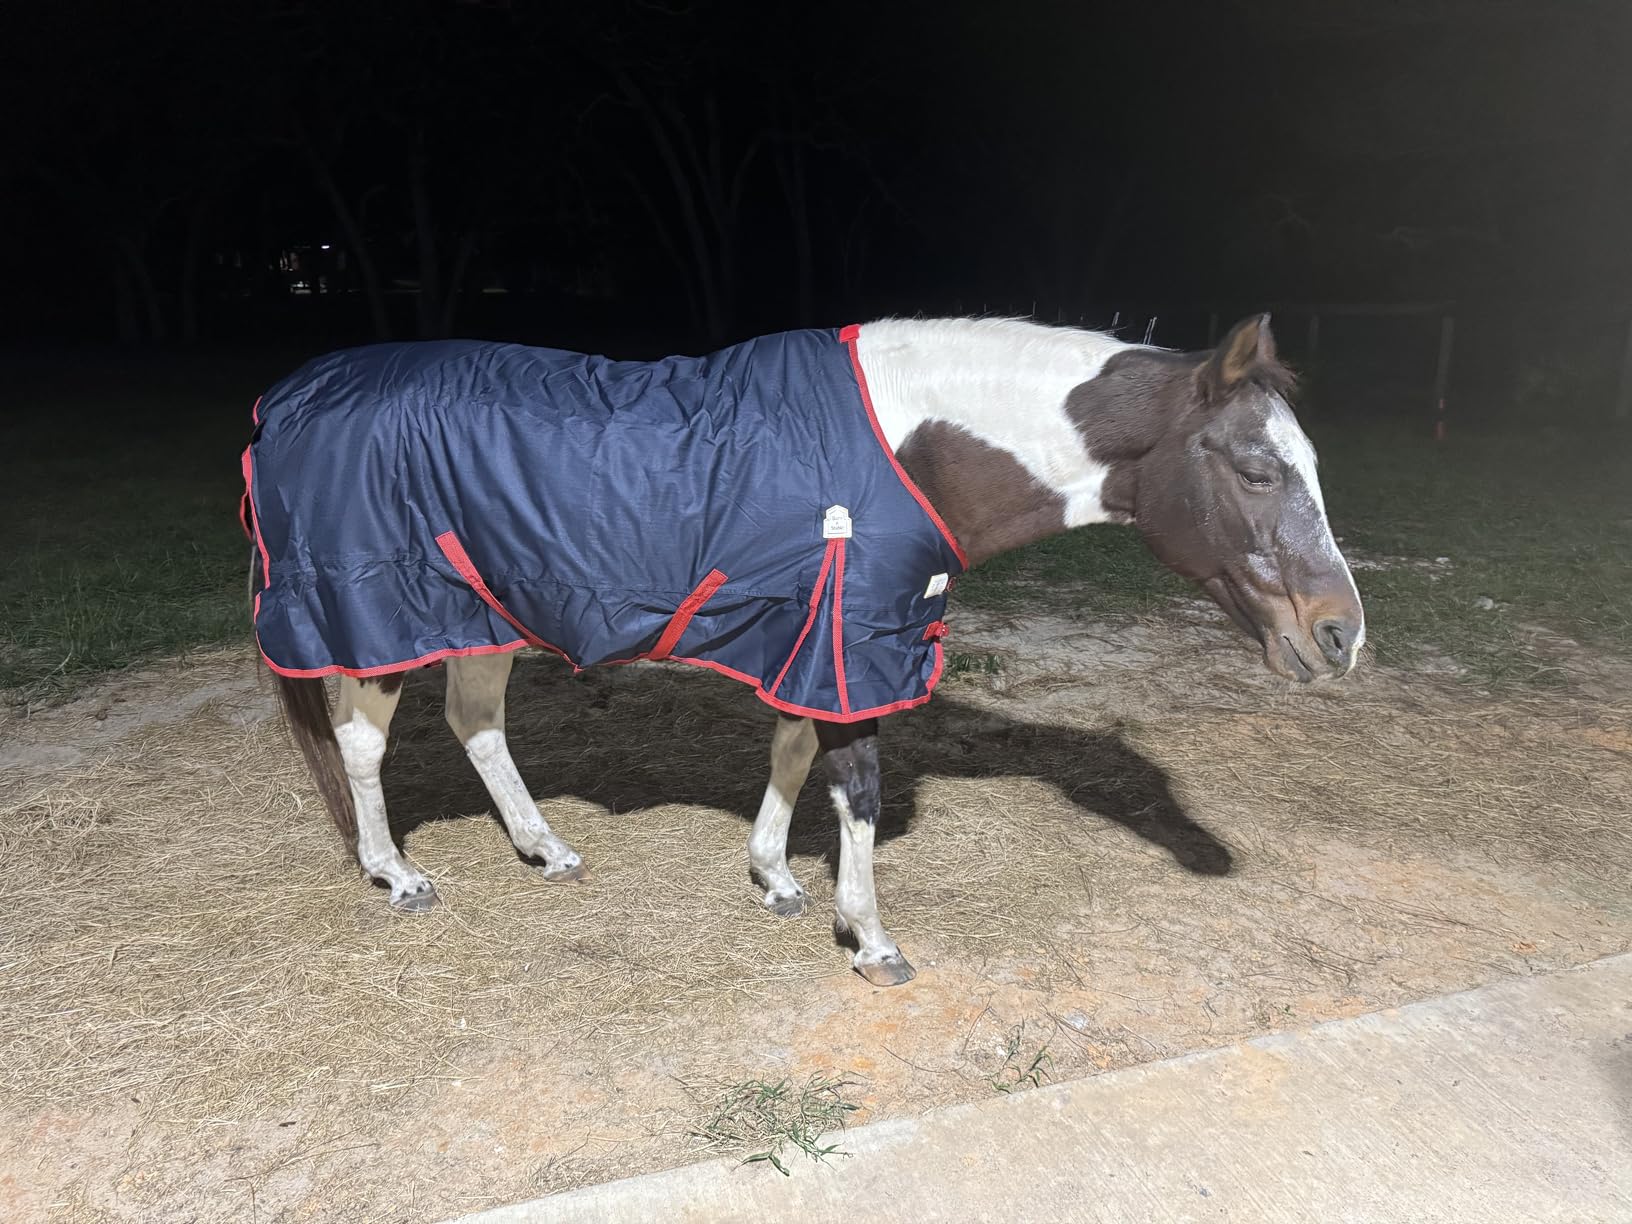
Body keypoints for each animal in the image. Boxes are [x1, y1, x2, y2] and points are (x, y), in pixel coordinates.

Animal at [242, 313, 1364, 987]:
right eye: (1257, 467)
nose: (1340, 634)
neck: (911, 444)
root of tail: (283, 400)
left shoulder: (811, 633)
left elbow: (789, 749)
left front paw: (774, 877)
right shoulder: (850, 637)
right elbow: (856, 789)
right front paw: (870, 939)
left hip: (481, 612)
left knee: (476, 722)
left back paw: (544, 847)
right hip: (381, 613)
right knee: (361, 744)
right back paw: (395, 874)